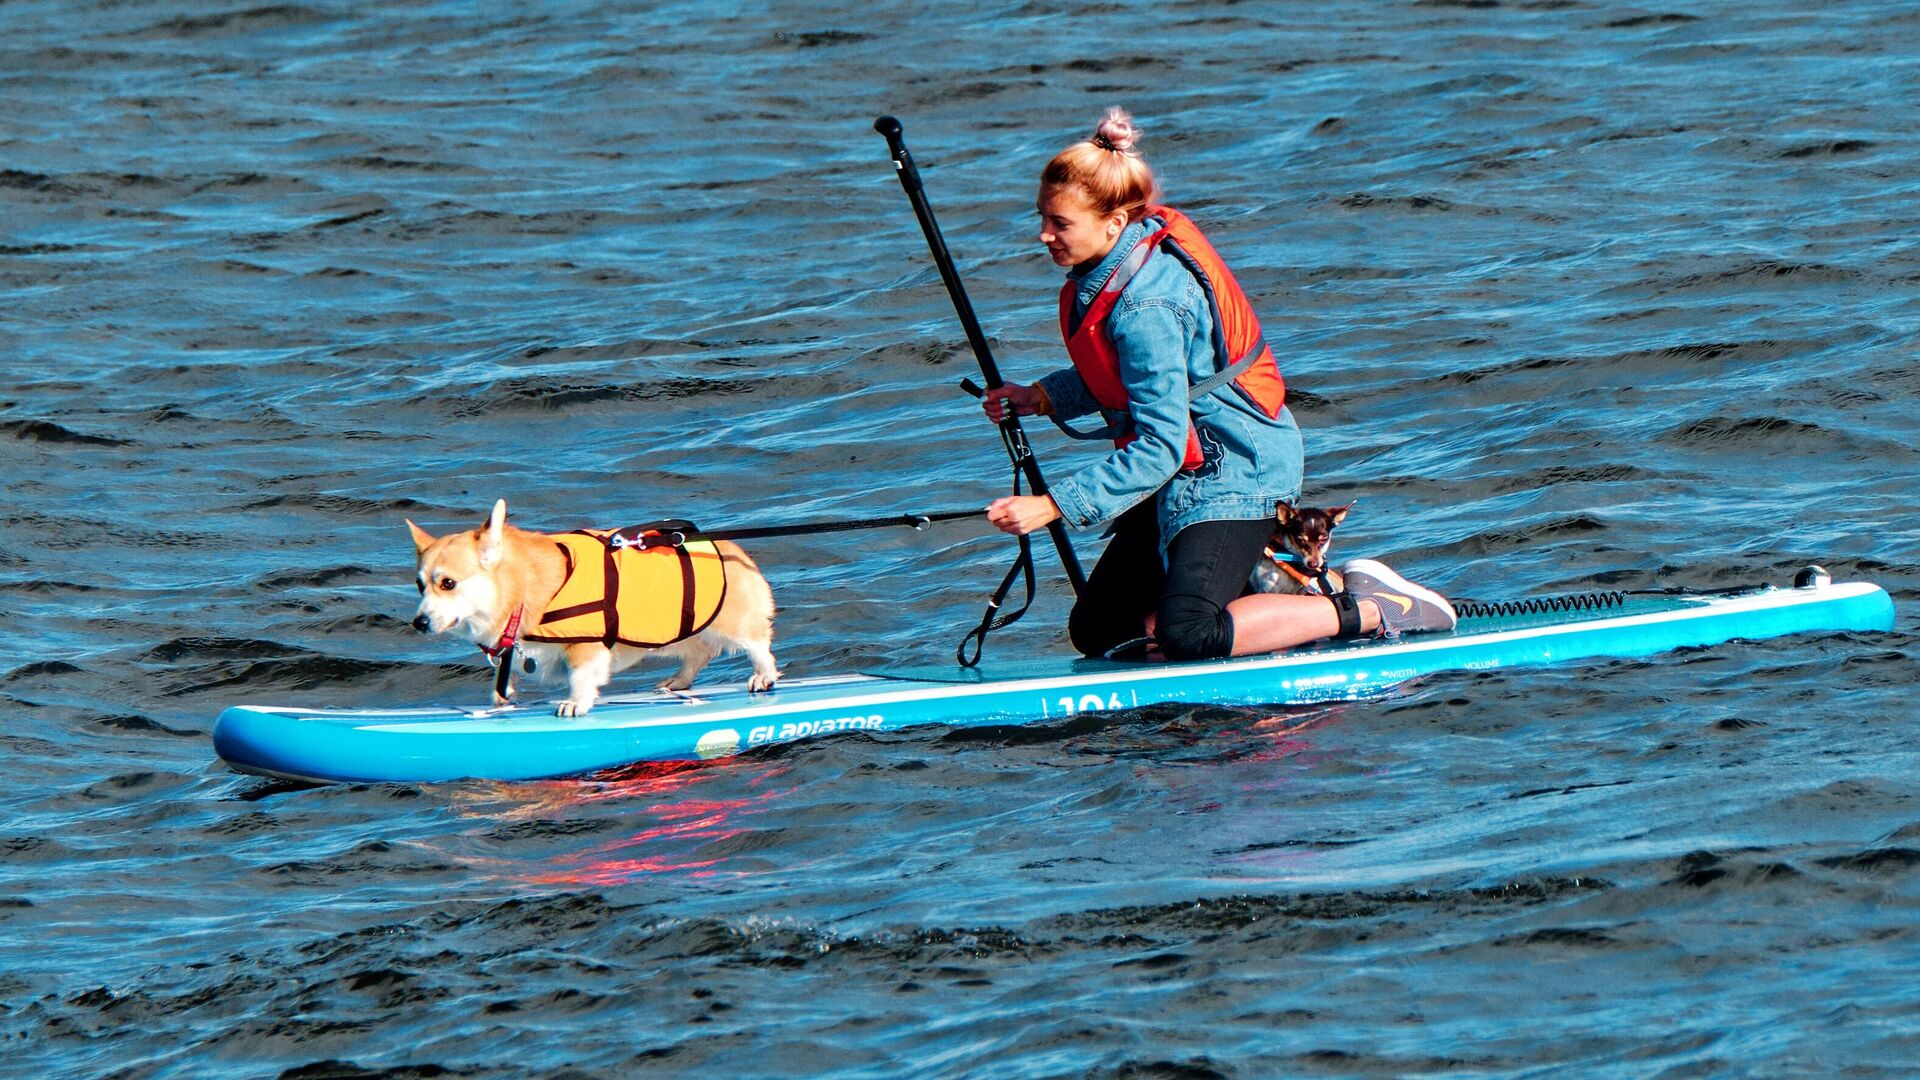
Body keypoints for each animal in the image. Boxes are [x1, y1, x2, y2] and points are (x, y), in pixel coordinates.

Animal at [407, 495, 779, 714]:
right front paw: (500, 704)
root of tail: (733, 548)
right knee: (700, 652)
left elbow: (581, 676)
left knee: (758, 646)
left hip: (732, 624)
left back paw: (763, 676)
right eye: (419, 585)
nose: (419, 623)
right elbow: (502, 680)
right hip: (672, 635)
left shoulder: (585, 647)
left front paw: (574, 703)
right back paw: (676, 683)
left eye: (448, 583)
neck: (518, 586)